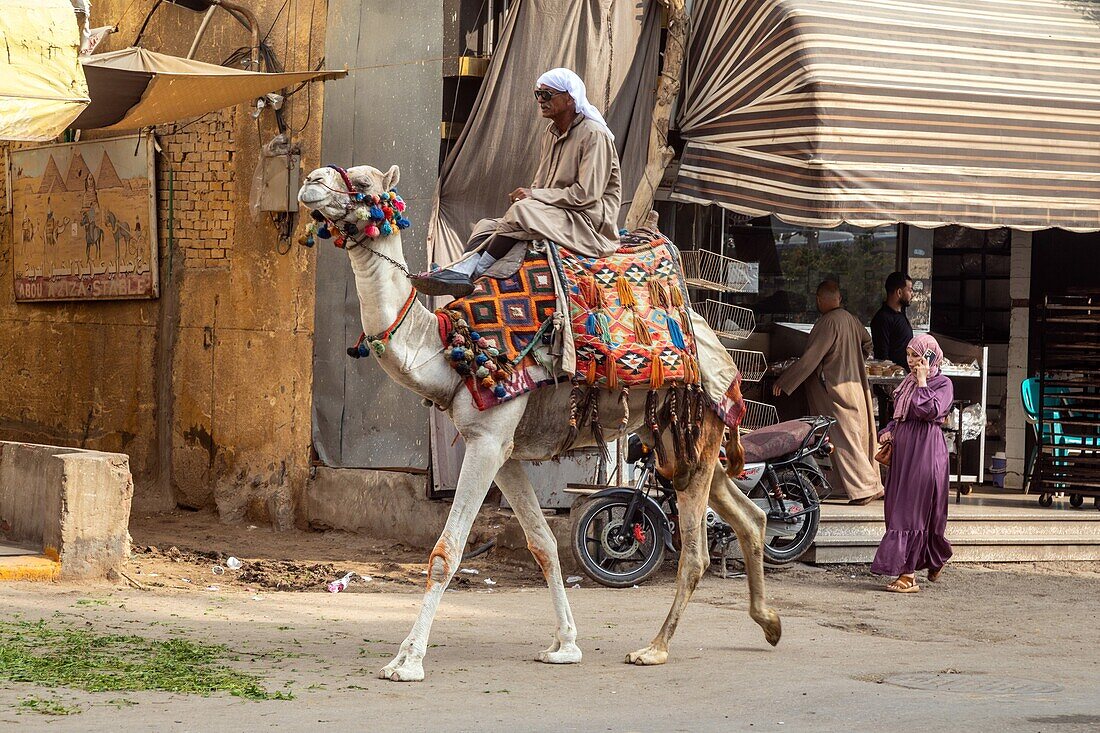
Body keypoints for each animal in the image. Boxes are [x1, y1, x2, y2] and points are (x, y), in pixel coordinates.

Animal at [301, 161, 783, 677]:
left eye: (364, 183)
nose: (310, 180)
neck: (450, 351)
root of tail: (724, 354)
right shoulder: (503, 450)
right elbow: (544, 545)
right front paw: (565, 644)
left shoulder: (488, 440)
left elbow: (446, 553)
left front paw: (407, 659)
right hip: (679, 438)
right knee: (749, 514)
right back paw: (769, 623)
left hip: (694, 421)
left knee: (695, 553)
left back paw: (654, 647)